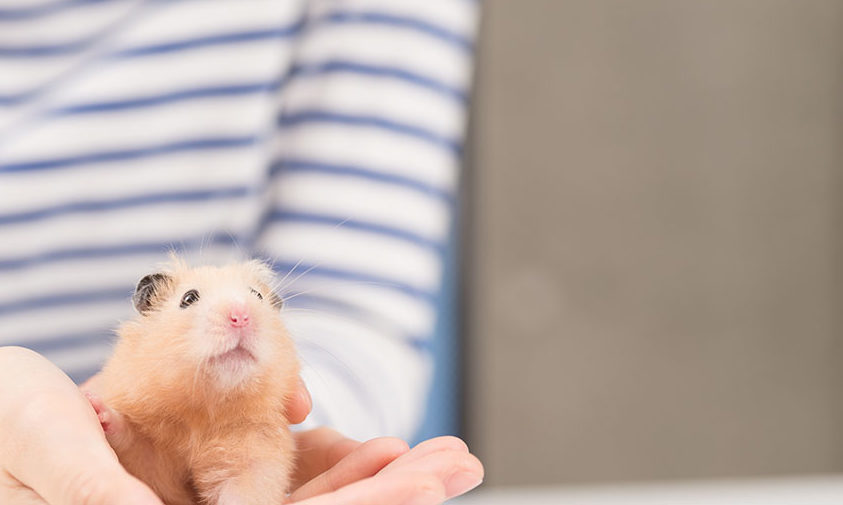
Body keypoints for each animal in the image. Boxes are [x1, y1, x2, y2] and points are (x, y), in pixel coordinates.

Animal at [93, 258, 300, 504]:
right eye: (189, 298)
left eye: (257, 295)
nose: (240, 317)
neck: (201, 413)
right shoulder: (147, 454)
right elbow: (128, 437)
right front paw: (97, 408)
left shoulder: (257, 459)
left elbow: (244, 492)